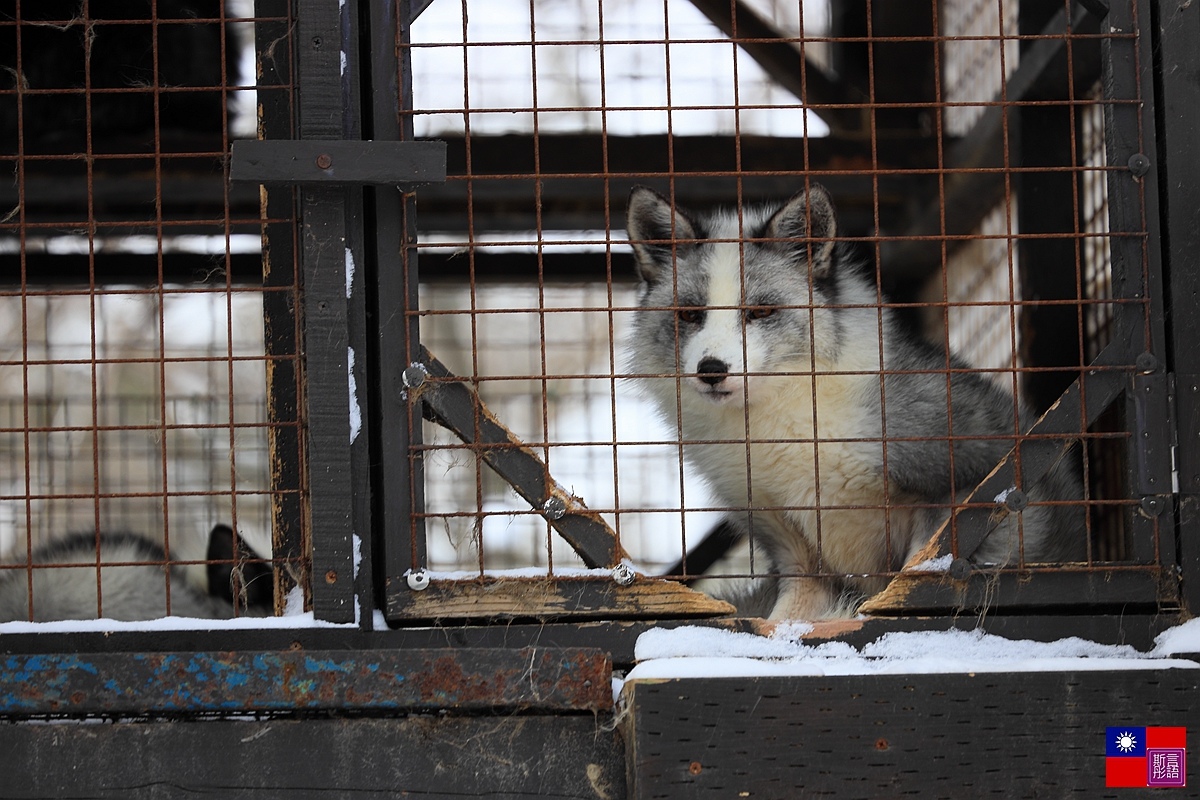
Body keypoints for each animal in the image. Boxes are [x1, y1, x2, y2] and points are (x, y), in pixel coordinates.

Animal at [624, 183, 1084, 618]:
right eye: (690, 315)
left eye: (760, 312)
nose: (712, 369)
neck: (784, 428)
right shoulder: (794, 547)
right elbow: (782, 620)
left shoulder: (967, 484)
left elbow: (910, 582)